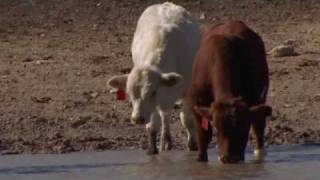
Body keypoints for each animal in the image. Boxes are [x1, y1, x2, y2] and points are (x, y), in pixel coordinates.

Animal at [109, 1, 201, 155]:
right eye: (130, 94)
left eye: (153, 92)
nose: (137, 118)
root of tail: (166, 4)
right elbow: (152, 126)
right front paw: (152, 149)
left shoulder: (188, 90)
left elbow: (187, 119)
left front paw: (192, 145)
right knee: (165, 115)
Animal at [188, 21, 272, 163]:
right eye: (217, 127)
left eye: (244, 127)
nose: (230, 158)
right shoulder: (196, 102)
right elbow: (203, 134)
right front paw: (201, 157)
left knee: (259, 125)